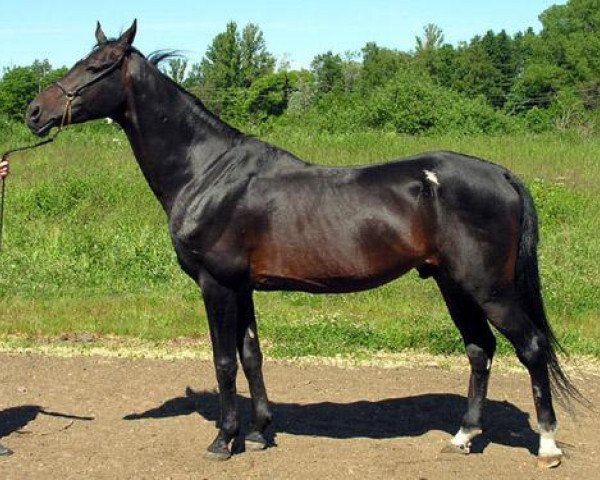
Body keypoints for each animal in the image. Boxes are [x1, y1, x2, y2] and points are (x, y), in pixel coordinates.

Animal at [24, 20, 576, 466]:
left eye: (98, 66)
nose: (33, 112)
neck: (206, 172)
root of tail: (503, 174)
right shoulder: (242, 287)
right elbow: (251, 355)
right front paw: (259, 432)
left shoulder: (216, 284)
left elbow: (224, 361)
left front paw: (223, 440)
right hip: (452, 284)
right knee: (480, 349)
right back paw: (463, 437)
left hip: (487, 288)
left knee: (530, 347)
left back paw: (547, 445)